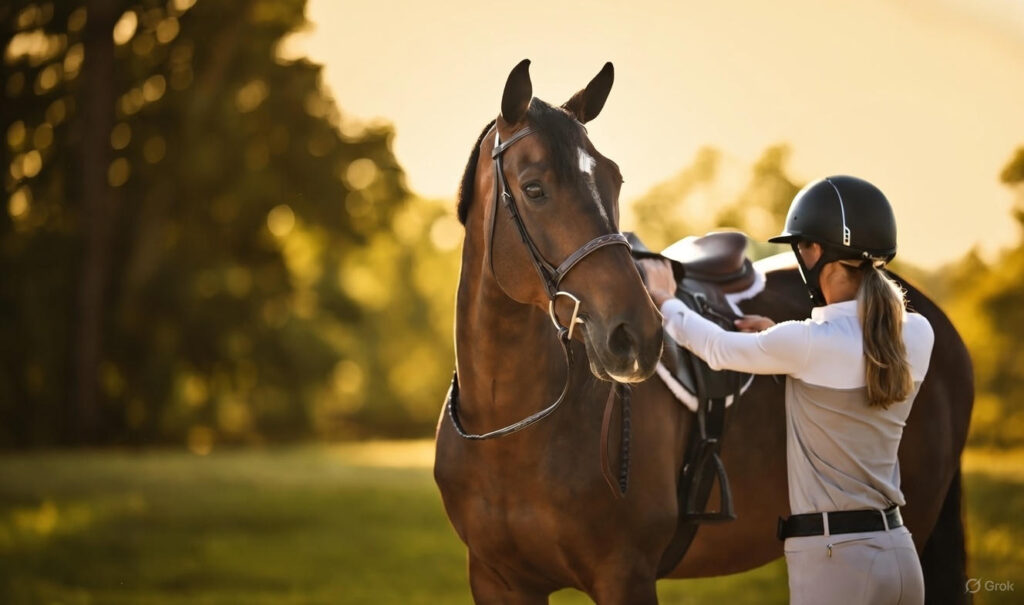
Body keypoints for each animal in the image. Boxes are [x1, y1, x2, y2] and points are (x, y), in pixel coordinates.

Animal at [434, 59, 973, 604]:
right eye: (534, 188)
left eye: (615, 180)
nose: (636, 336)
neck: (512, 428)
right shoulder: (497, 580)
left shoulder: (624, 575)